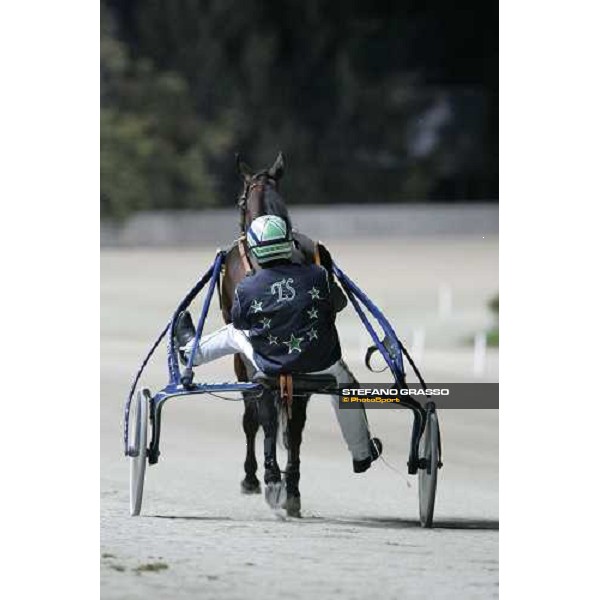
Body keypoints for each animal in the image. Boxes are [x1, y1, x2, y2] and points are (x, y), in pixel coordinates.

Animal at [220, 152, 316, 516]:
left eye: (238, 199)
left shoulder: (242, 356)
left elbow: (253, 416)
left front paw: (252, 477)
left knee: (263, 415)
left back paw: (272, 480)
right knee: (296, 423)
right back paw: (292, 488)